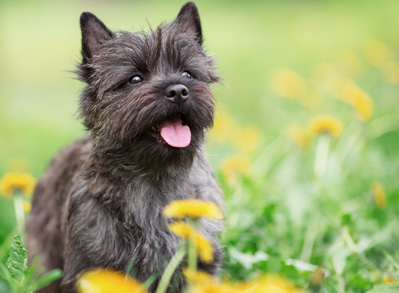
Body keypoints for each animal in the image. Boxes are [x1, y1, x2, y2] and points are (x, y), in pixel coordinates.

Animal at [26, 2, 225, 292]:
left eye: (188, 73)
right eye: (134, 79)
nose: (178, 90)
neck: (155, 182)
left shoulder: (200, 264)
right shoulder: (90, 266)